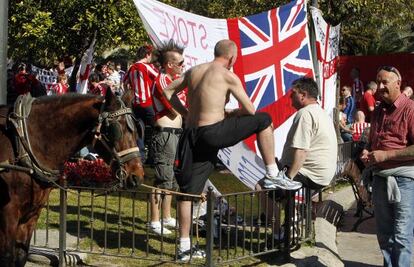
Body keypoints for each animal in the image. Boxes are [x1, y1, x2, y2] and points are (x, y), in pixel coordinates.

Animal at [0, 89, 146, 266]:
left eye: (137, 130)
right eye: (116, 130)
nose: (137, 176)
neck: (23, 143)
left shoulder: (31, 214)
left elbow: (20, 256)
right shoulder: (8, 214)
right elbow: (7, 257)